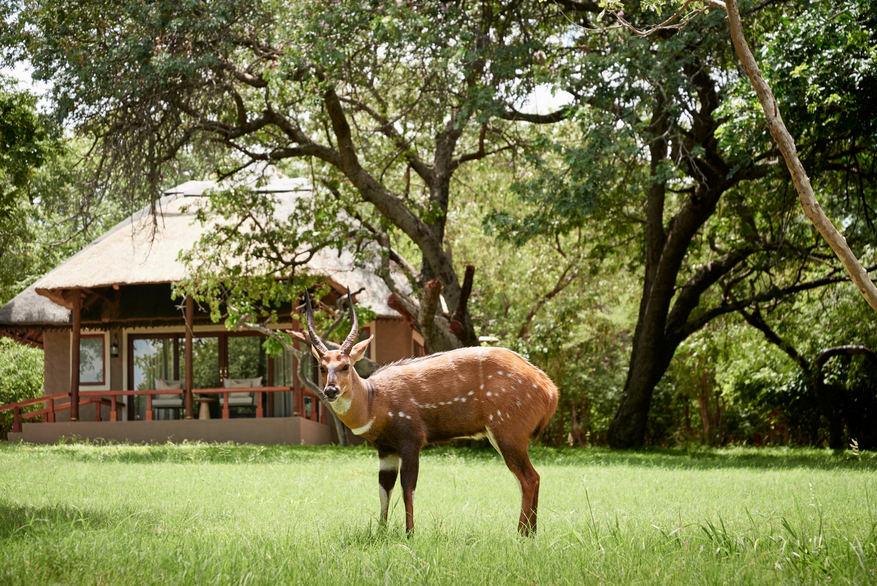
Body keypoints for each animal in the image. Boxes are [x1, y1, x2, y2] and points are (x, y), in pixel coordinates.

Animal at [304, 288, 556, 532]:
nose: (331, 390)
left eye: (346, 366)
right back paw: (531, 534)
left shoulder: (411, 439)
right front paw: (380, 533)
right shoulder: (385, 449)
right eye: (323, 367)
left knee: (528, 478)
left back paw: (521, 535)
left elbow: (408, 487)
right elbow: (384, 489)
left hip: (508, 431)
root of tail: (550, 389)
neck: (373, 402)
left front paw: (410, 534)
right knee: (533, 477)